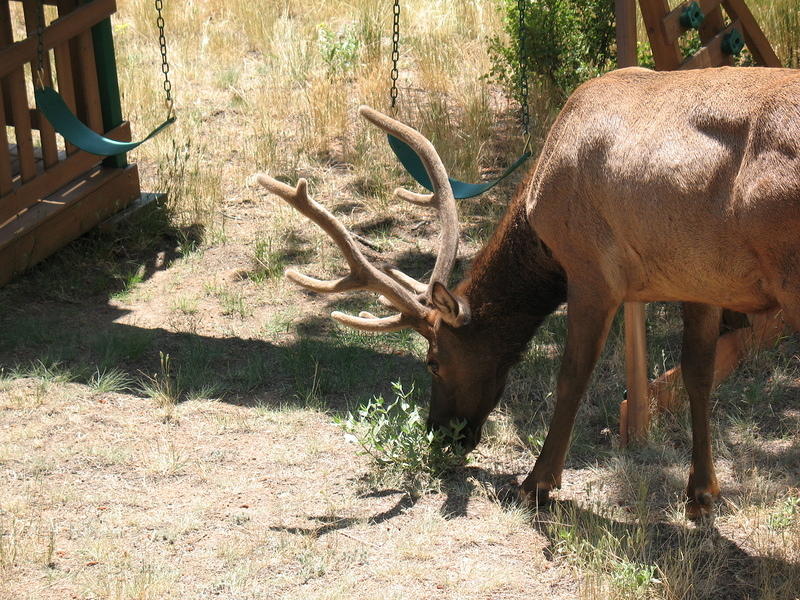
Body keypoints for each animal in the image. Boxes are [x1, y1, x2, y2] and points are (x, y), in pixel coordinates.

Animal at [258, 64, 800, 516]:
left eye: (433, 361)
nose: (441, 435)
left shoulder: (591, 271)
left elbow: (572, 377)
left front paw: (536, 483)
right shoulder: (700, 279)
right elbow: (698, 375)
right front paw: (701, 494)